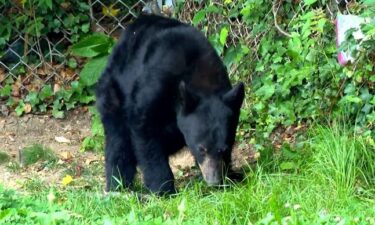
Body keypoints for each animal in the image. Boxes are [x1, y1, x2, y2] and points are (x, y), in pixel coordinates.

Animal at [95, 14, 245, 194]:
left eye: (225, 148)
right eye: (201, 148)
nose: (214, 181)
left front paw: (230, 177)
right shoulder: (154, 84)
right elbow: (144, 130)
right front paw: (162, 189)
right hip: (113, 91)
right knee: (118, 140)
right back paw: (118, 185)